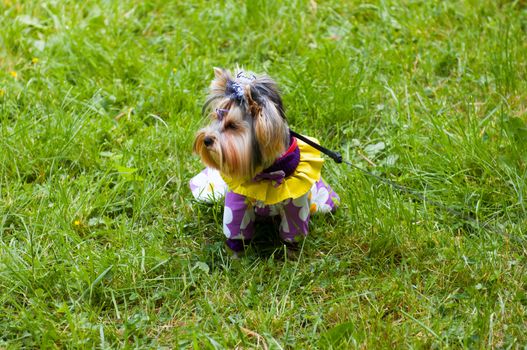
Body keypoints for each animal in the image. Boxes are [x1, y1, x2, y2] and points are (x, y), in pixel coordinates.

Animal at [192, 67, 340, 254]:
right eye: (215, 118)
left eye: (232, 125)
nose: (206, 140)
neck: (267, 173)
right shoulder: (238, 202)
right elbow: (236, 228)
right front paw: (236, 253)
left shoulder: (295, 204)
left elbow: (293, 229)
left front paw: (291, 252)